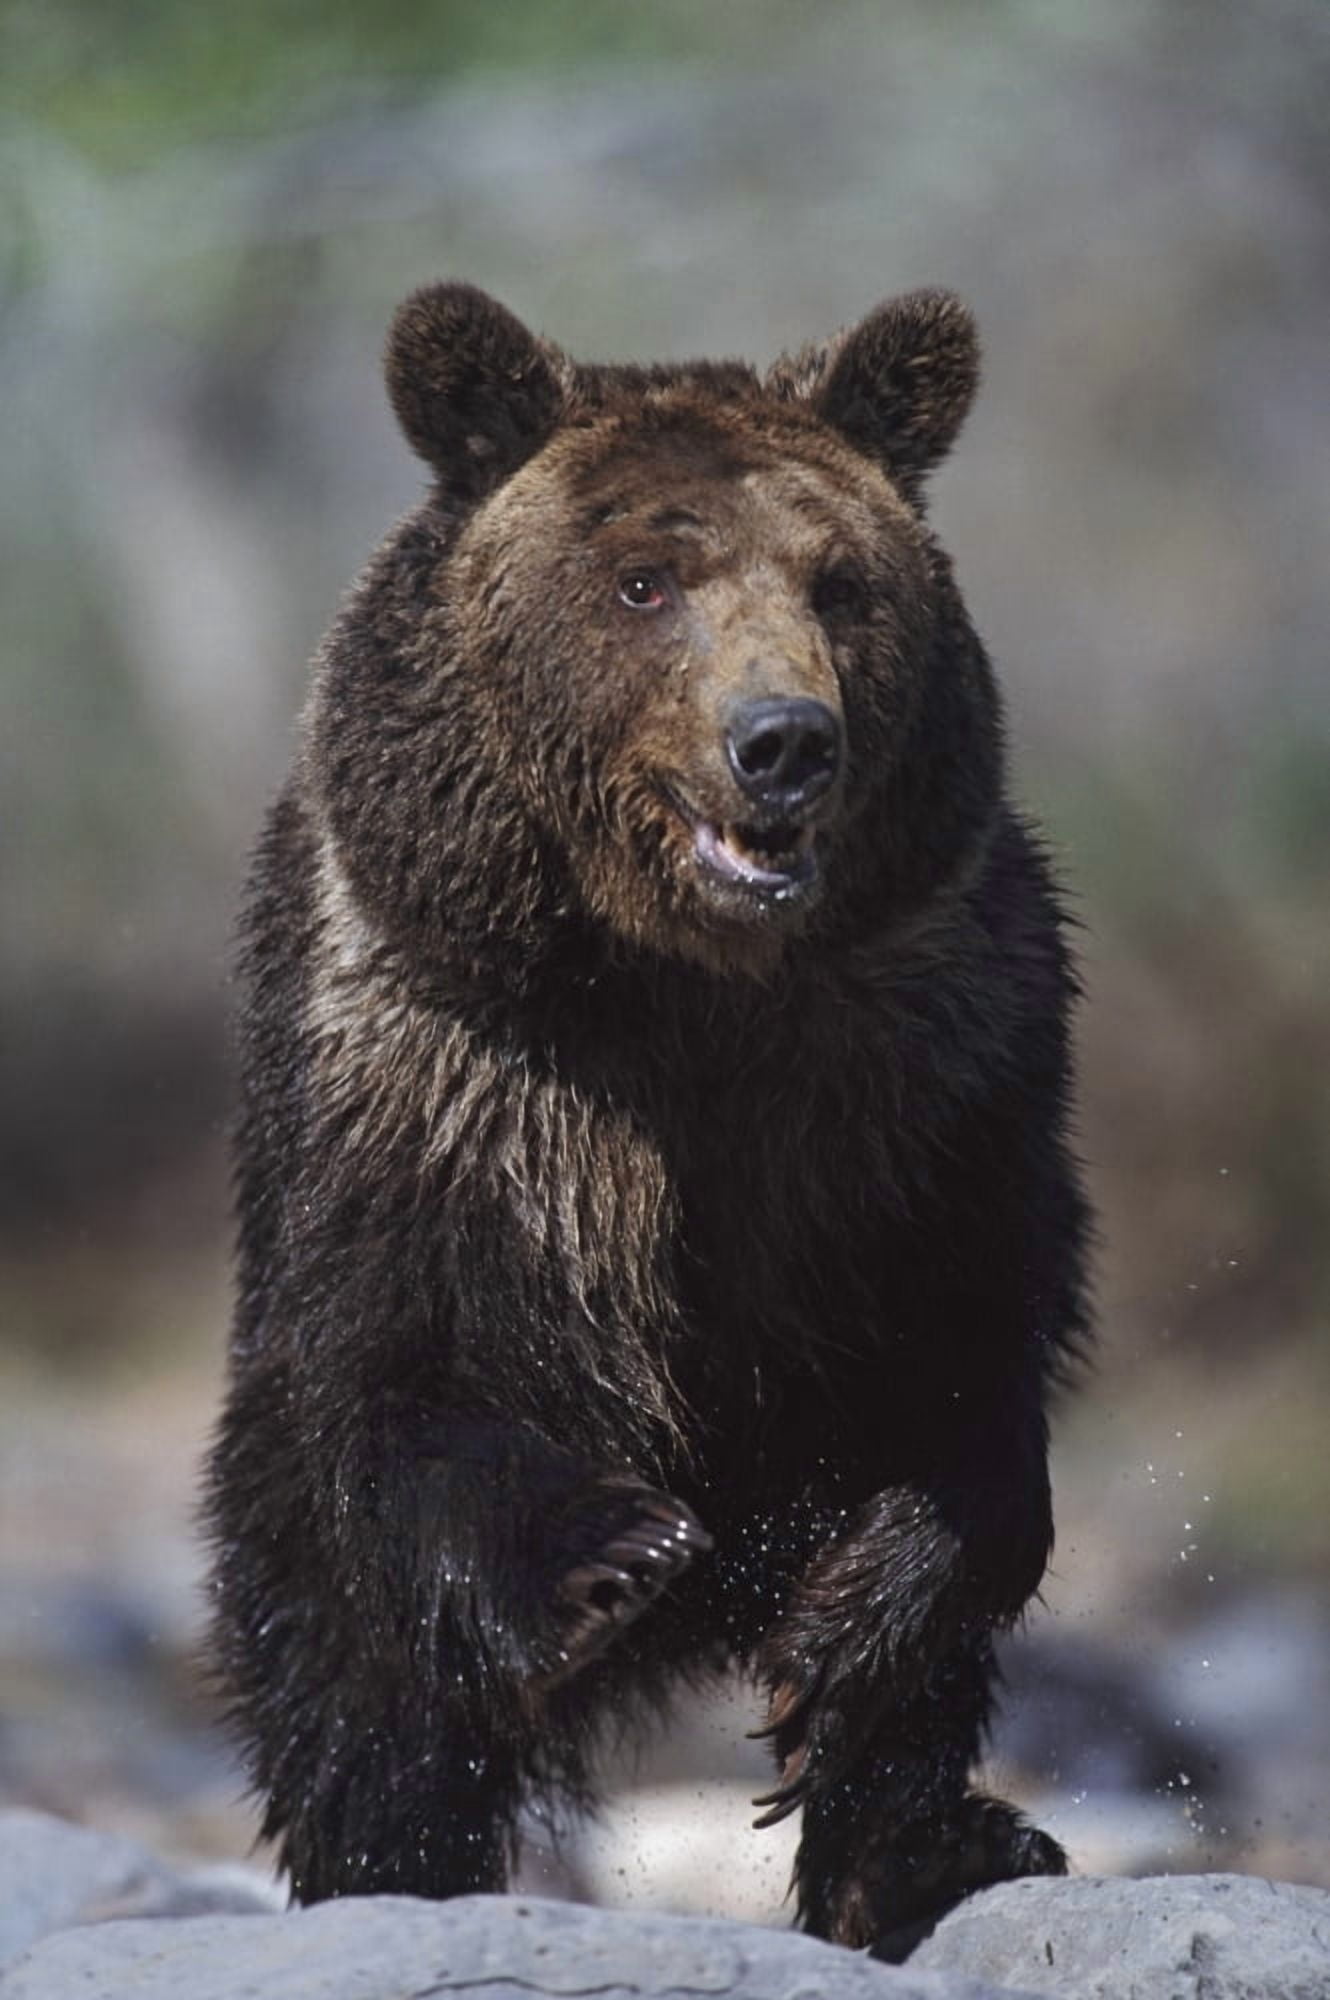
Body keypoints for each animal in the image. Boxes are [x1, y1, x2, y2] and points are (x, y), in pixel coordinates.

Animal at [204, 280, 1091, 1958]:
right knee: (343, 1668)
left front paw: (856, 1616)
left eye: (840, 582)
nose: (782, 738)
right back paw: (388, 1868)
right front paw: (610, 1557)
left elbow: (972, 1361)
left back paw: (934, 1848)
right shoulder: (452, 1070)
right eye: (641, 580)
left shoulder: (928, 1078)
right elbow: (408, 1361)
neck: (679, 989)